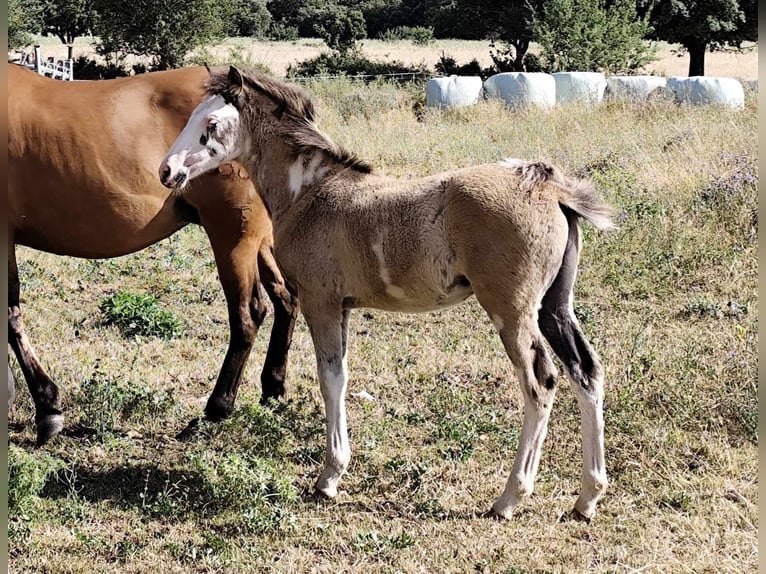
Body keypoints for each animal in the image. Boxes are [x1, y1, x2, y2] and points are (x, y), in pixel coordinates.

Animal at [159, 67, 616, 520]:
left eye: (210, 123)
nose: (167, 170)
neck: (309, 193)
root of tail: (549, 189)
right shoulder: (342, 306)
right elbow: (342, 376)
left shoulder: (320, 301)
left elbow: (330, 379)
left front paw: (329, 478)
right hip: (554, 306)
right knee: (586, 371)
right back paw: (587, 497)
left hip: (512, 310)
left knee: (541, 383)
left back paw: (509, 498)